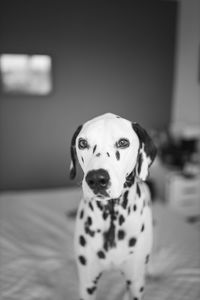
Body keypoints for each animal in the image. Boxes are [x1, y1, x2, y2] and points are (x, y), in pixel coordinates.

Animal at [70, 113, 156, 300]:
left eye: (123, 142)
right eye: (82, 143)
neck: (112, 216)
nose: (96, 179)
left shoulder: (135, 283)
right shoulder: (87, 284)